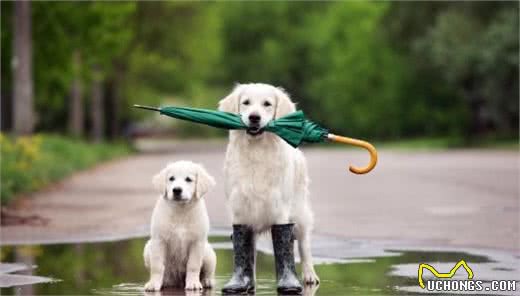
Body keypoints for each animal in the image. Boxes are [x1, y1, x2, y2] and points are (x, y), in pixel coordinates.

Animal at [143, 161, 216, 290]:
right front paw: (153, 284)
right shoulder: (158, 240)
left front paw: (193, 283)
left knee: (208, 271)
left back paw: (207, 281)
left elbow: (193, 265)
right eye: (171, 178)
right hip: (148, 248)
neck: (180, 211)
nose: (176, 190)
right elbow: (157, 266)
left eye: (188, 179)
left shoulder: (197, 242)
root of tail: (177, 282)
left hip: (208, 254)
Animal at [218, 82, 316, 294]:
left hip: (300, 213)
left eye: (267, 104)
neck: (257, 151)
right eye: (246, 103)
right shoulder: (240, 208)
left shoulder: (280, 209)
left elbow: (285, 245)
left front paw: (288, 282)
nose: (254, 117)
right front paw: (242, 282)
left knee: (304, 245)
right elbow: (244, 250)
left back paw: (309, 275)